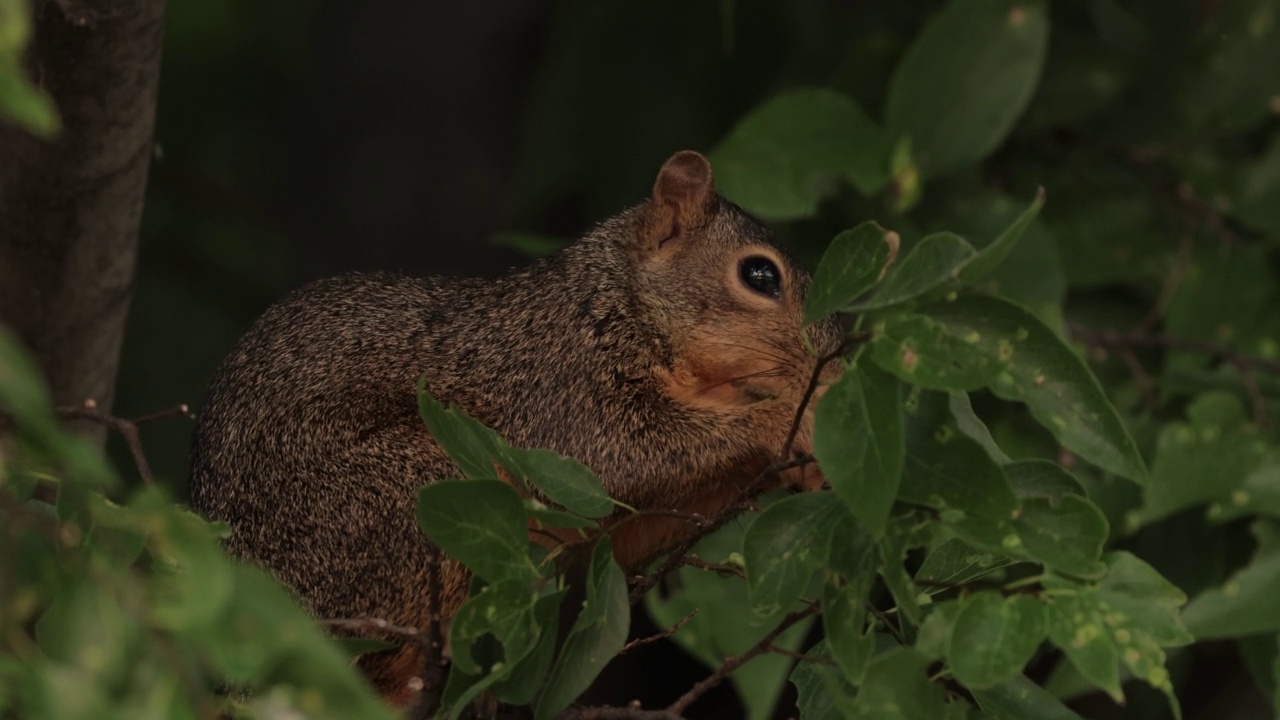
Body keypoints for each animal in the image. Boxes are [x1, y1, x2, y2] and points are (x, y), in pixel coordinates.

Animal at [186, 148, 839, 702]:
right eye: (760, 276)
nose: (834, 357)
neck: (617, 299)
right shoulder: (565, 387)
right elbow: (626, 456)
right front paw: (796, 416)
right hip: (389, 502)